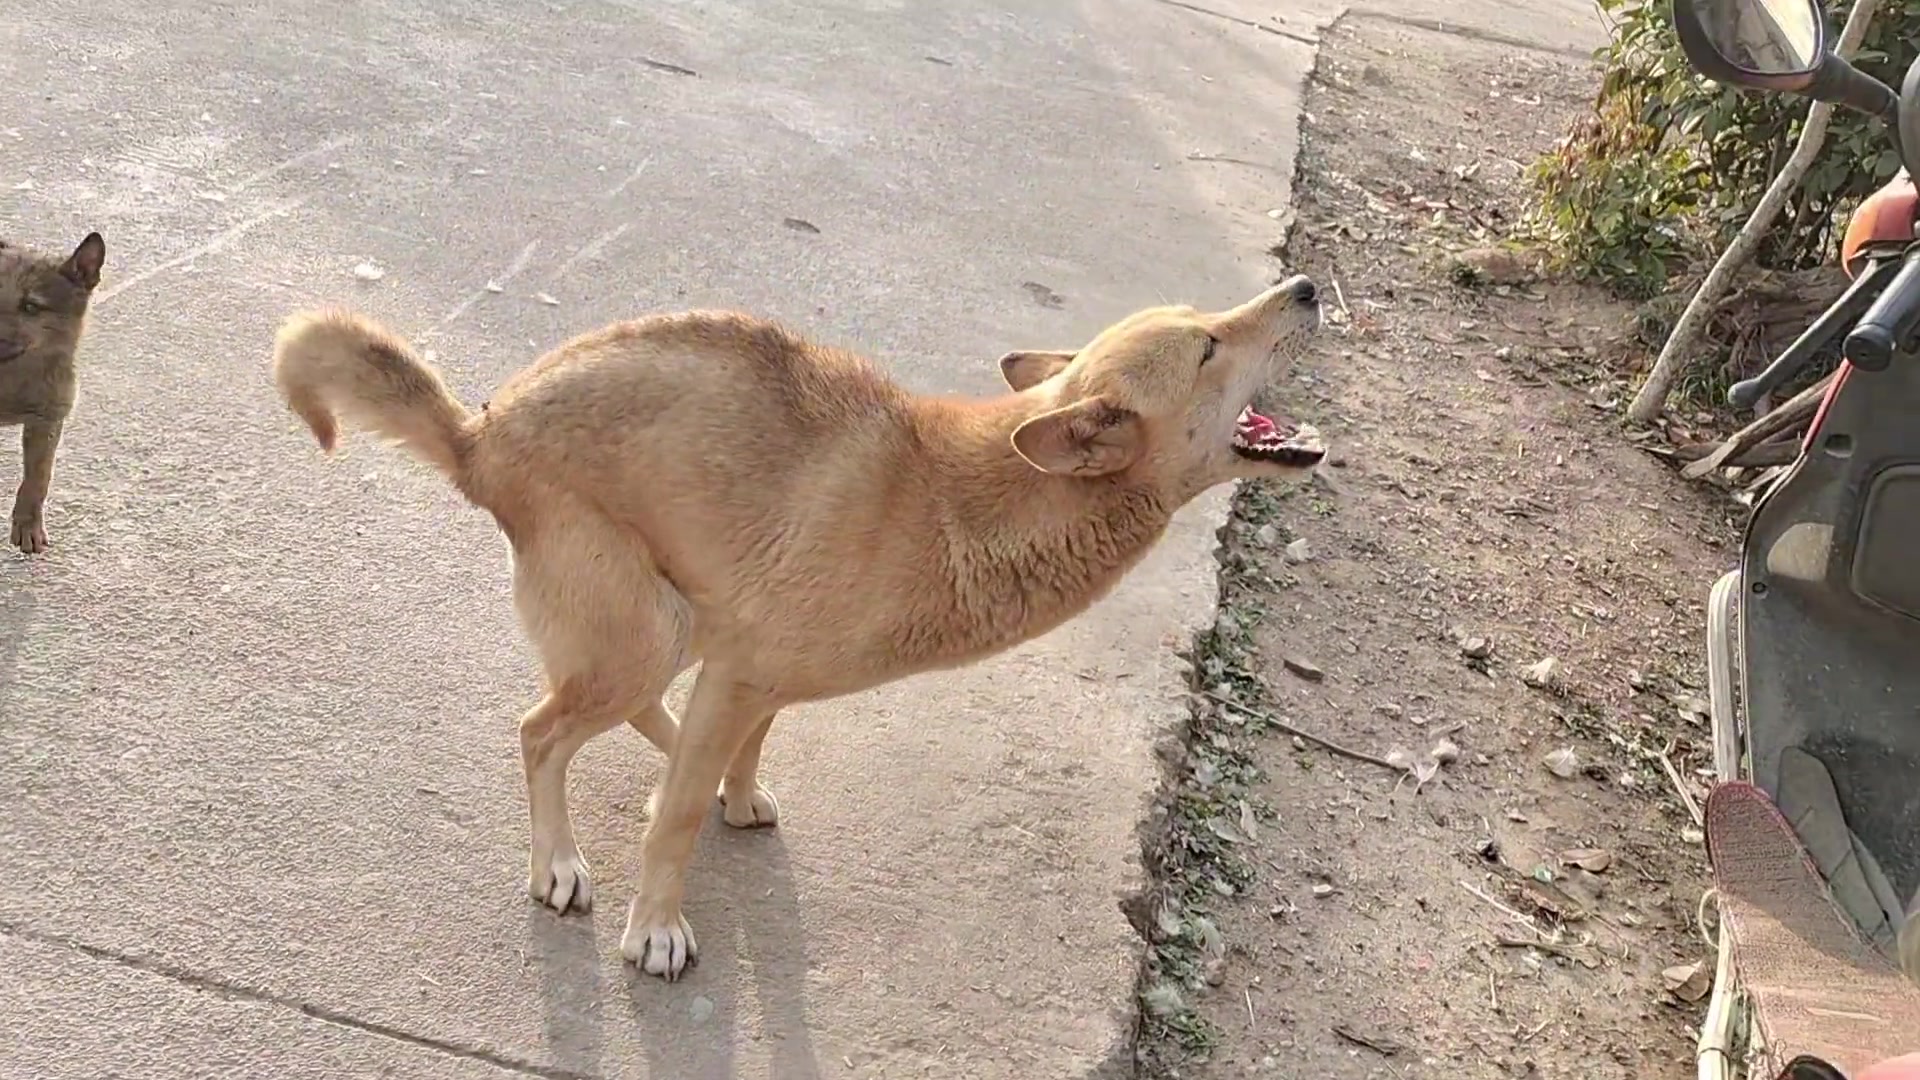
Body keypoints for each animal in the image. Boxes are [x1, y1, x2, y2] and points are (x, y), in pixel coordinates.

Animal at [270, 274, 1328, 976]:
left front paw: (729, 793)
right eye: (1208, 347)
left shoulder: (755, 667)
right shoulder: (741, 669)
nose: (1307, 285)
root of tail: (482, 433)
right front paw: (656, 923)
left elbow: (738, 753)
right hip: (645, 626)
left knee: (631, 717)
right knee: (543, 732)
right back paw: (561, 859)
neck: (979, 503)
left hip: (674, 621)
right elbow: (680, 820)